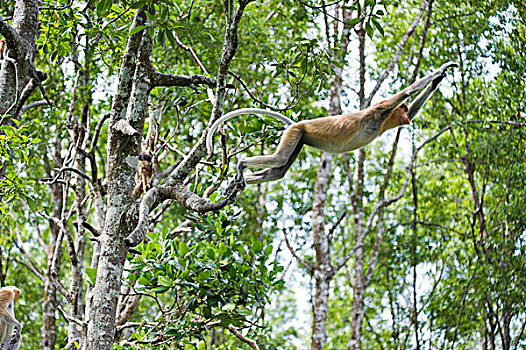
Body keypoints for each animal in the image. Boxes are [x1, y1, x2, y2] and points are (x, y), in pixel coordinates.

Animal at [208, 60, 460, 191]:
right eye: (403, 110)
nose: (406, 117)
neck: (383, 120)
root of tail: (299, 123)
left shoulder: (385, 119)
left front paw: (439, 79)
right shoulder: (380, 110)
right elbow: (405, 92)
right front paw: (440, 71)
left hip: (300, 138)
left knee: (279, 170)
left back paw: (235, 184)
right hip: (296, 132)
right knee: (279, 159)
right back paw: (240, 166)